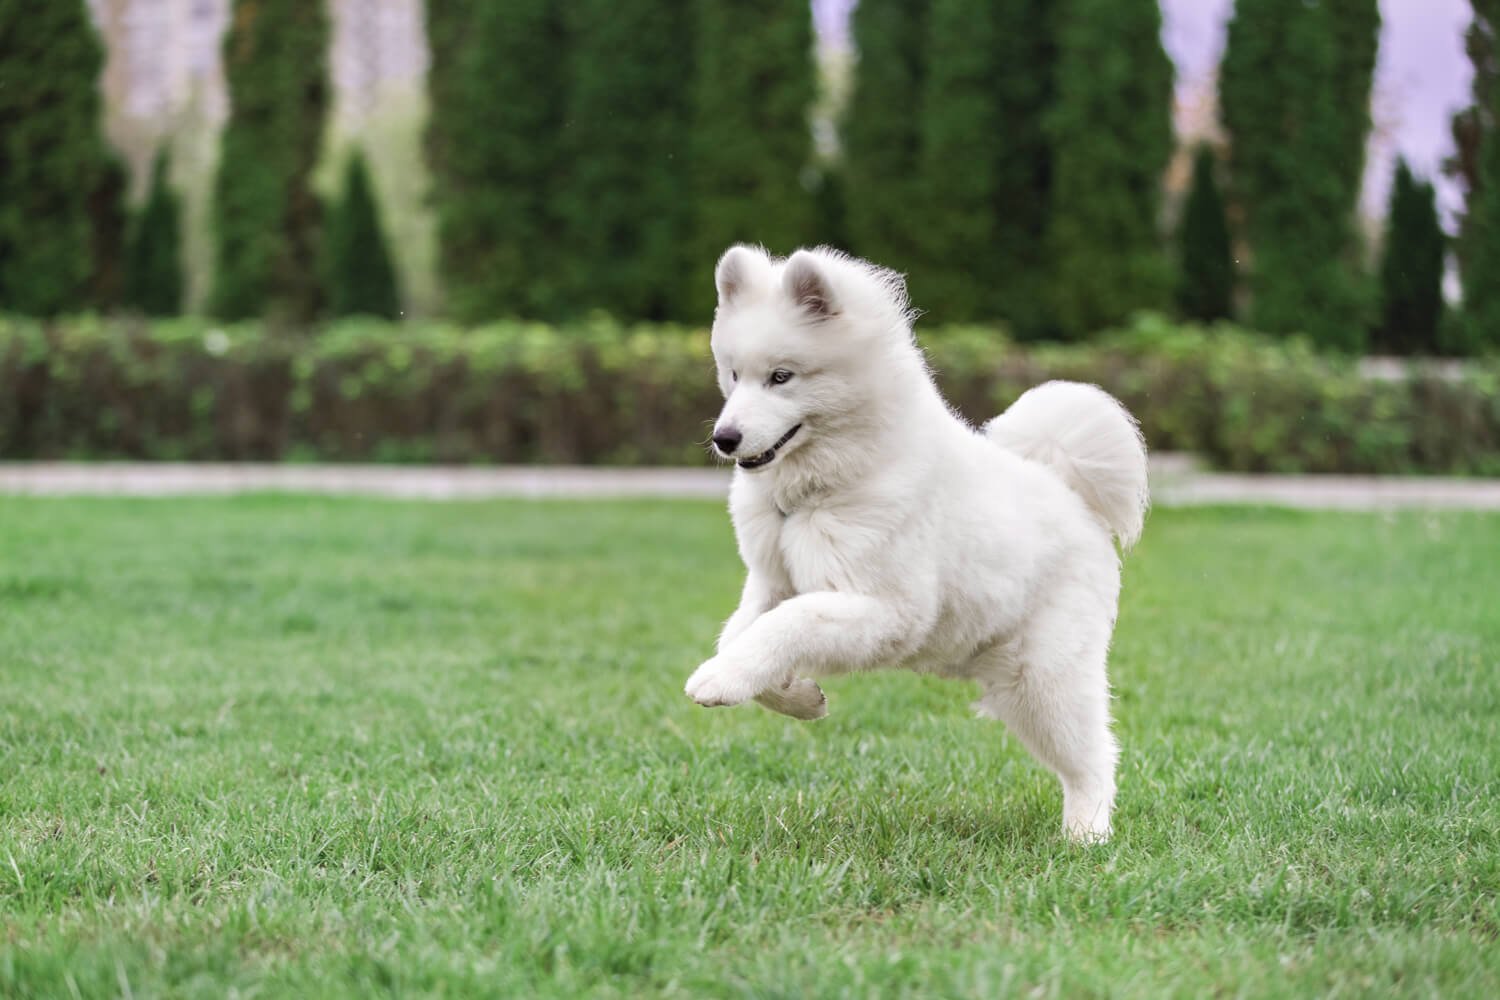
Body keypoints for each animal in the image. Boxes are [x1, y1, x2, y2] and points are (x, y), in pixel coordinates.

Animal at [681, 245, 1146, 839]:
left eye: (781, 377)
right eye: (734, 374)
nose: (725, 438)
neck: (821, 489)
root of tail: (1073, 495)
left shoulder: (889, 609)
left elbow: (789, 625)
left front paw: (719, 680)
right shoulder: (770, 583)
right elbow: (745, 634)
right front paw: (799, 698)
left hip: (1043, 680)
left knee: (1094, 759)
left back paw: (1086, 836)